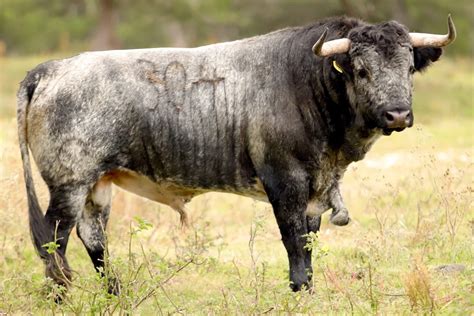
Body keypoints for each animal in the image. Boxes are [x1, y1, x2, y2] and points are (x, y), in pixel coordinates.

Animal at [17, 16, 456, 296]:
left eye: (408, 68)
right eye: (361, 70)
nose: (397, 114)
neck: (305, 82)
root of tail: (53, 68)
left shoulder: (316, 187)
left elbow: (310, 238)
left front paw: (309, 286)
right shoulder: (285, 181)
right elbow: (293, 239)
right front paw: (299, 288)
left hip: (97, 185)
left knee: (93, 238)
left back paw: (115, 293)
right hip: (69, 184)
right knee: (53, 239)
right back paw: (60, 296)